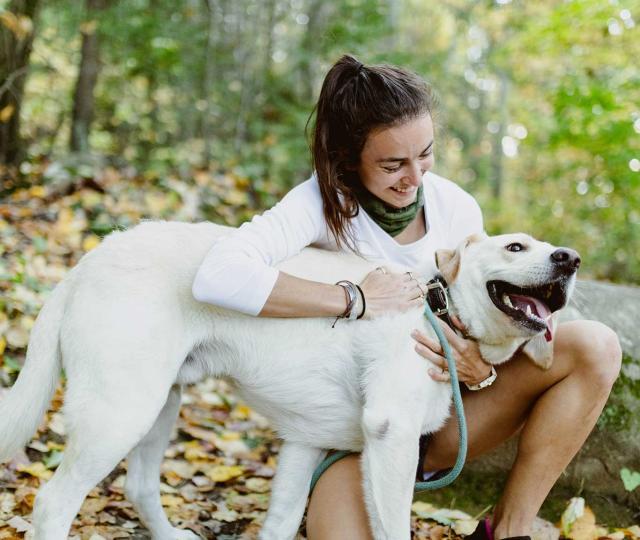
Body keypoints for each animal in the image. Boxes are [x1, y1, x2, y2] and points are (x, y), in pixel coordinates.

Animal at [0, 221, 580, 536]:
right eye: (515, 247)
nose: (570, 258)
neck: (438, 311)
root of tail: (90, 259)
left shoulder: (305, 444)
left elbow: (279, 524)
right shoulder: (391, 438)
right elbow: (392, 527)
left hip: (159, 403)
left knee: (139, 485)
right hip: (122, 411)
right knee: (54, 503)